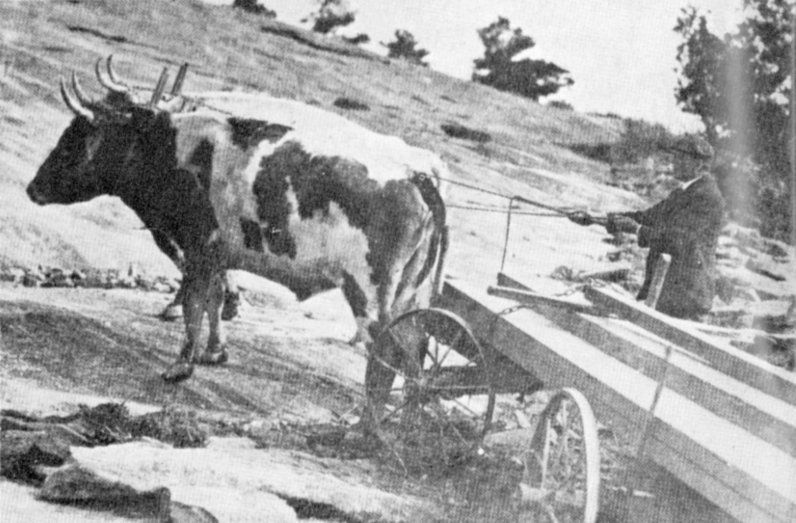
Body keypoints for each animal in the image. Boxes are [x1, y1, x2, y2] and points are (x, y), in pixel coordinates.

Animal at [27, 62, 448, 423]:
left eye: (78, 134)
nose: (32, 188)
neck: (175, 149)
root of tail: (417, 174)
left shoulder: (197, 247)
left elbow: (194, 304)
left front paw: (180, 365)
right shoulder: (216, 254)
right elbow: (213, 300)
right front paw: (215, 351)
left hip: (368, 289)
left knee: (387, 353)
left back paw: (367, 427)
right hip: (412, 293)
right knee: (415, 351)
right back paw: (405, 422)